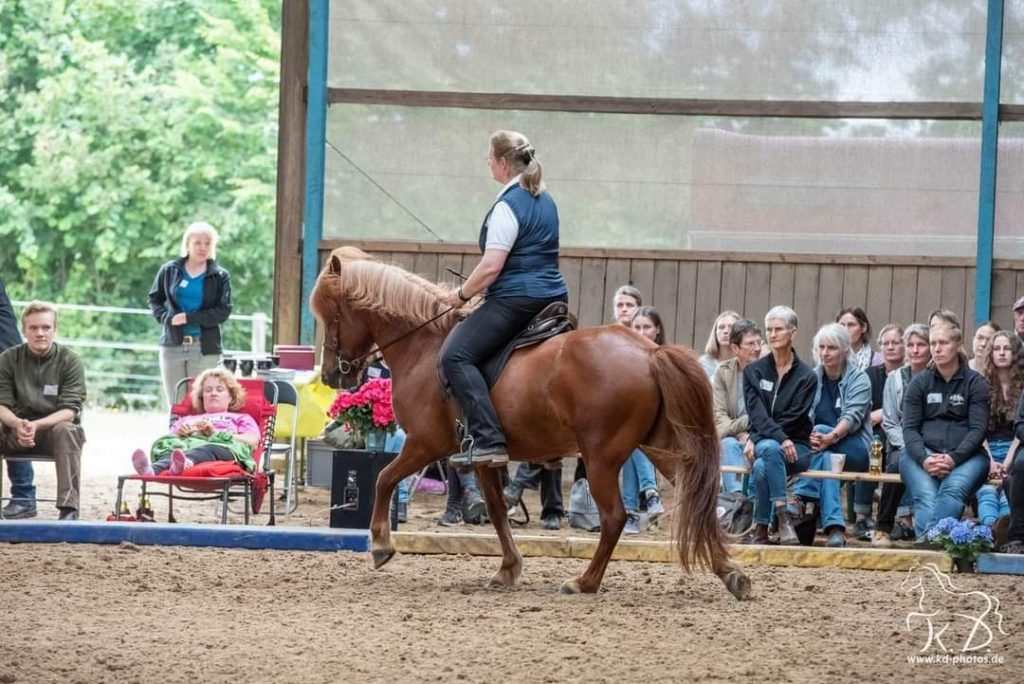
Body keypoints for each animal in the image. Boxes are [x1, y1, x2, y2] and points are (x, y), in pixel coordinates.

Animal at [307, 246, 749, 597]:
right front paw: (508, 569)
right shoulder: (482, 454)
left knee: (614, 518)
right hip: (663, 448)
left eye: (331, 314)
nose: (331, 375)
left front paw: (381, 545)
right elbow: (497, 509)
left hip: (602, 456)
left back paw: (584, 582)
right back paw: (732, 574)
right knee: (697, 500)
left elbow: (382, 479)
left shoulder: (426, 443)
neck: (424, 344)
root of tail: (648, 351)